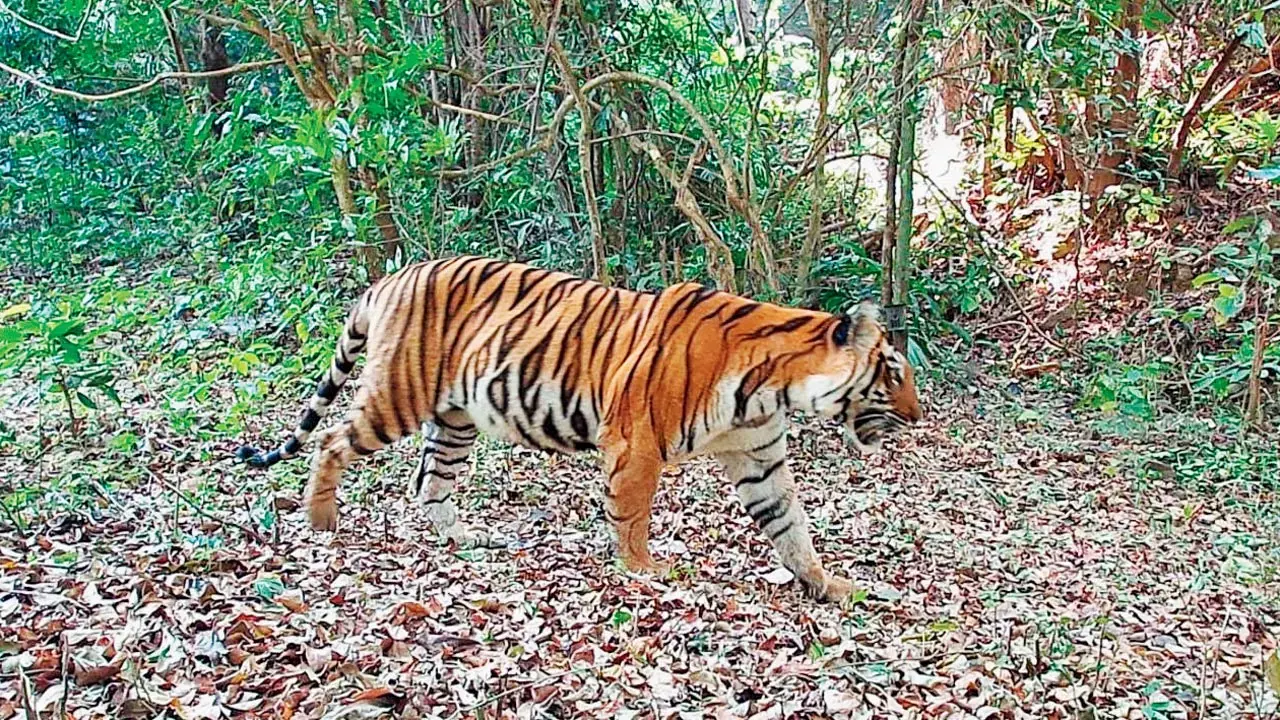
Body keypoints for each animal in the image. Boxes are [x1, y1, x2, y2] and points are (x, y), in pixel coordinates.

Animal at [237, 255, 922, 602]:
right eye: (893, 373)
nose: (919, 418)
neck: (774, 386)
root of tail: (388, 279)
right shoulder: (636, 442)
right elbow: (633, 512)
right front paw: (643, 570)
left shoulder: (760, 459)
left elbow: (792, 529)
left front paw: (832, 585)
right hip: (397, 394)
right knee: (332, 441)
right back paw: (320, 521)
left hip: (455, 420)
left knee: (428, 484)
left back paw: (466, 538)